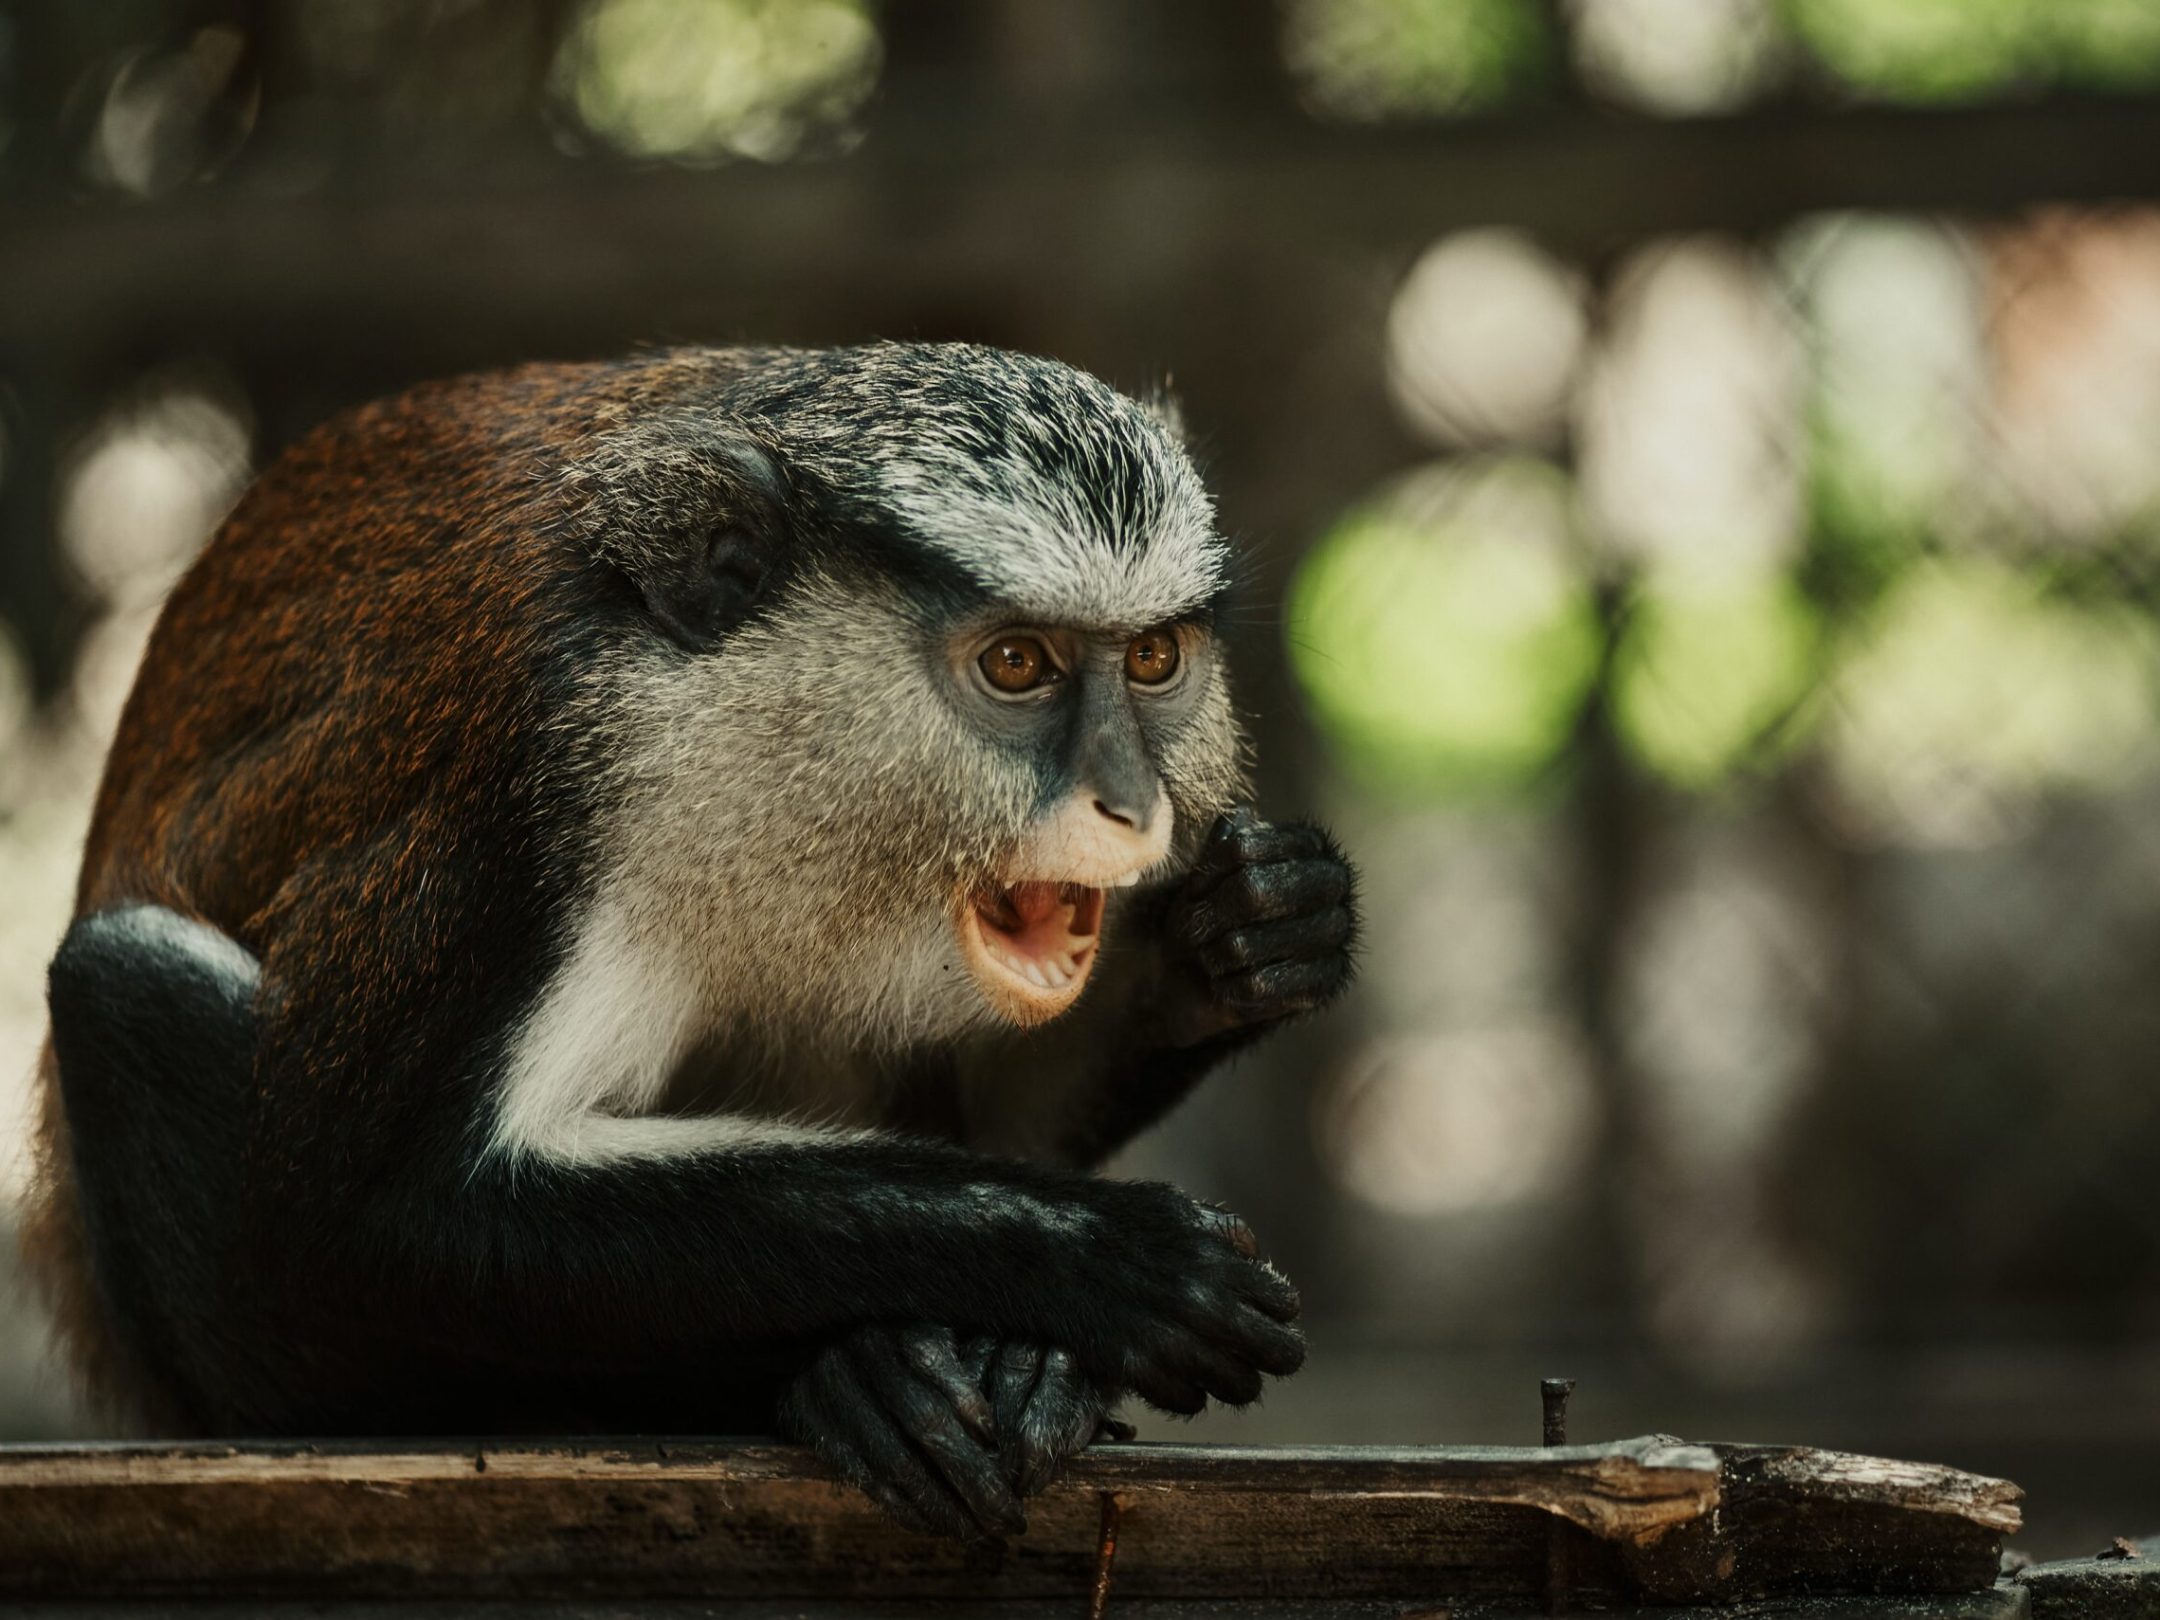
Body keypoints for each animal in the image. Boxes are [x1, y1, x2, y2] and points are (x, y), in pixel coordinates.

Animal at [22, 342, 1359, 1541]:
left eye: (1153, 658)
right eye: (1018, 664)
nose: (1130, 806)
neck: (715, 715)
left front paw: (1252, 933)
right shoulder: (514, 792)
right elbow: (379, 1217)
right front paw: (1103, 1260)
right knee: (120, 980)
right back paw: (835, 1381)